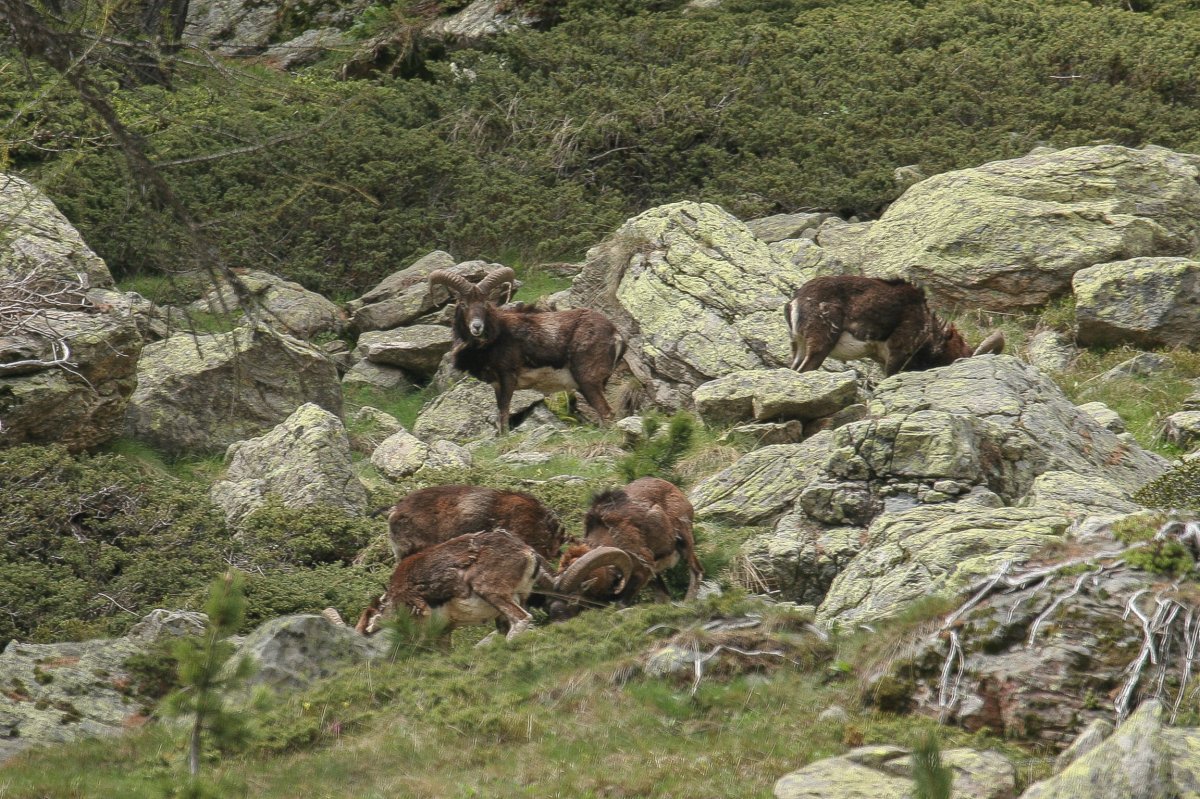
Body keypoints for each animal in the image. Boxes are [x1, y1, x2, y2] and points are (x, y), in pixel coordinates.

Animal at [428, 266, 625, 433]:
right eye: (463, 304)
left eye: (485, 304)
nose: (477, 327)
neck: (494, 337)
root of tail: (615, 334)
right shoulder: (497, 385)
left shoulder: (508, 377)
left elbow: (504, 413)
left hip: (587, 380)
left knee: (606, 412)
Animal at [551, 477, 701, 619]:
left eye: (574, 597)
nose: (558, 614)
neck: (609, 534)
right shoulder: (650, 573)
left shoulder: (642, 572)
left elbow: (621, 604)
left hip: (684, 539)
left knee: (696, 570)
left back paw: (689, 602)